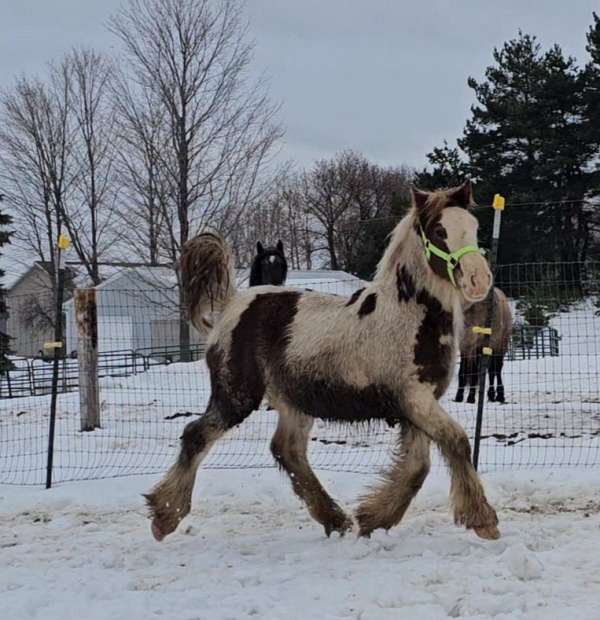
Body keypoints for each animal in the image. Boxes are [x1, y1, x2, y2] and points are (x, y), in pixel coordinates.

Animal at [143, 182, 500, 540]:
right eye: (440, 230)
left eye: (474, 227)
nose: (479, 280)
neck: (407, 316)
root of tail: (233, 303)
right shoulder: (412, 397)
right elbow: (456, 441)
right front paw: (483, 520)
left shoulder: (419, 403)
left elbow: (417, 466)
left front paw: (373, 518)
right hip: (237, 394)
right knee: (197, 434)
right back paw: (165, 516)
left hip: (294, 401)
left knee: (287, 450)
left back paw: (336, 519)